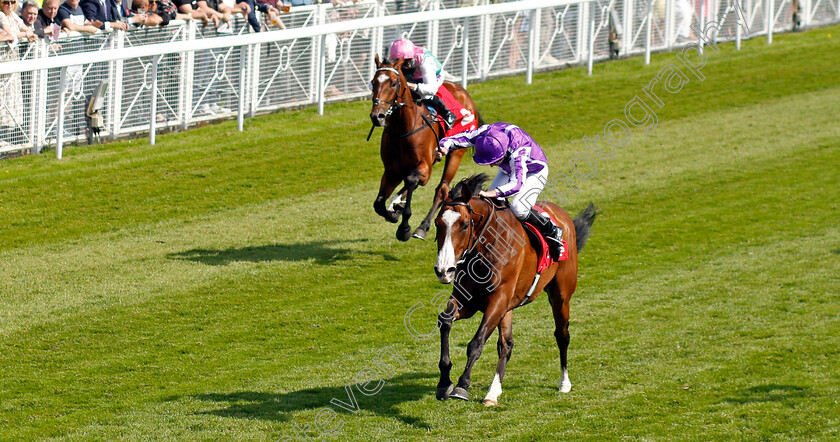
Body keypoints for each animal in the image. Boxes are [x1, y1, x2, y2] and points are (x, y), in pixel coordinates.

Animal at [370, 56, 482, 242]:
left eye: (393, 83)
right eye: (373, 82)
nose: (377, 116)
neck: (403, 129)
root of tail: (463, 91)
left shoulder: (425, 168)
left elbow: (412, 180)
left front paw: (404, 228)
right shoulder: (391, 171)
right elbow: (378, 203)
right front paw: (393, 212)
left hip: (456, 153)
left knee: (441, 190)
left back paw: (422, 226)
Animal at [434, 174, 596, 406]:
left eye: (464, 225)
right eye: (437, 223)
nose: (443, 270)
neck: (486, 249)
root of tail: (563, 215)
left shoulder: (498, 299)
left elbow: (477, 342)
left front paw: (462, 385)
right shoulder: (471, 301)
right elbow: (445, 320)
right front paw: (444, 381)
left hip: (561, 295)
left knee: (562, 335)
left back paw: (564, 383)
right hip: (508, 307)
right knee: (506, 345)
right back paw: (493, 393)